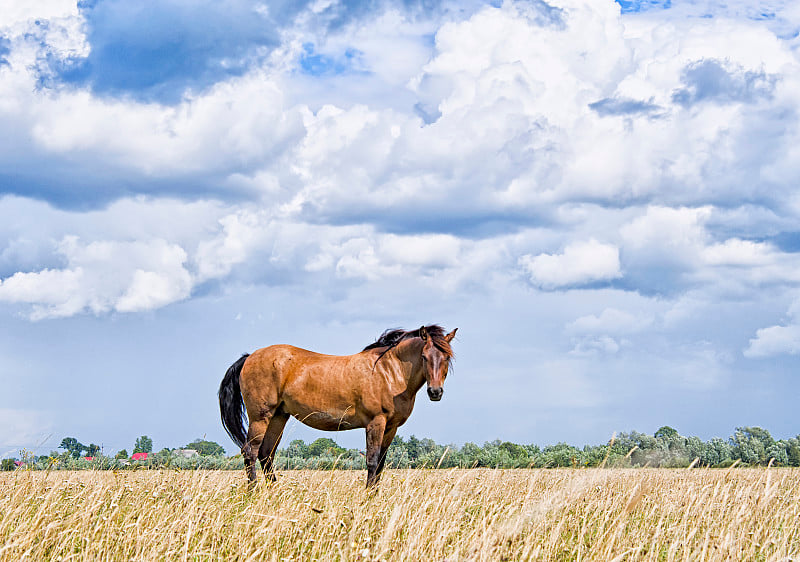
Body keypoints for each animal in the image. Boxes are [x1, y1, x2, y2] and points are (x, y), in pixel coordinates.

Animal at [219, 324, 456, 486]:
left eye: (446, 357)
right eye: (424, 356)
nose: (435, 392)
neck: (389, 371)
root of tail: (250, 357)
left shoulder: (391, 427)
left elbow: (380, 463)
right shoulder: (376, 423)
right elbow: (372, 461)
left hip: (278, 416)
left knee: (266, 454)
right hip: (260, 417)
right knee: (250, 452)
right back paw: (253, 492)